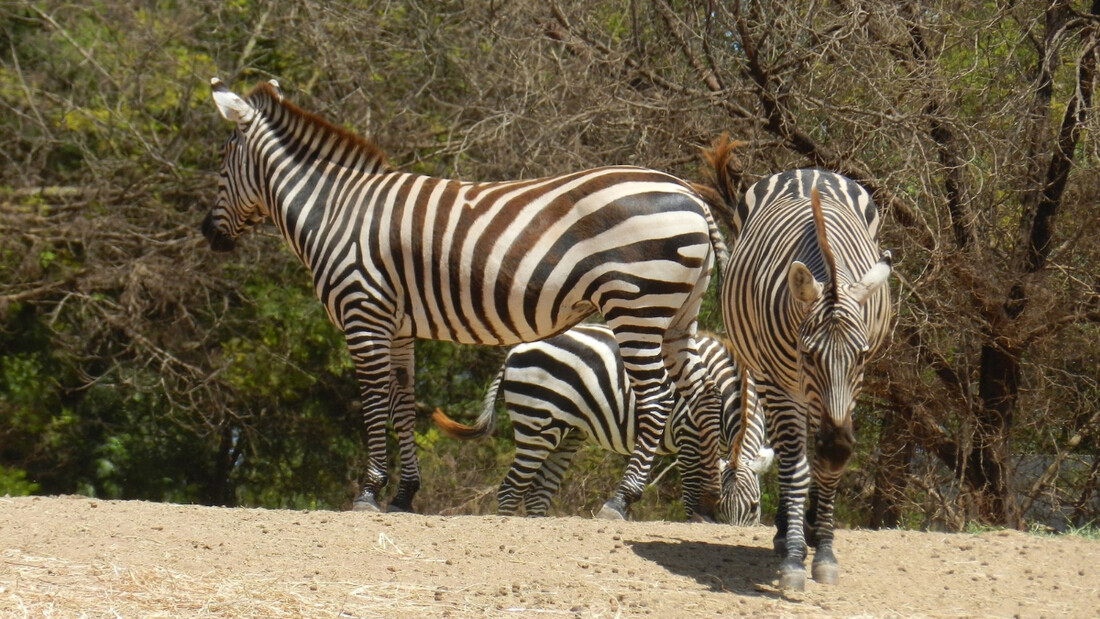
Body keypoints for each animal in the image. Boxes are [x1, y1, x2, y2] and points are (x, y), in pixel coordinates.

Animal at [202, 79, 726, 521]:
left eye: (223, 160)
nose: (208, 233)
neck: (333, 212)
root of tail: (689, 193)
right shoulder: (398, 326)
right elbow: (402, 402)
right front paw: (405, 495)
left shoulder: (364, 311)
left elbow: (373, 401)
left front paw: (369, 492)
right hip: (677, 314)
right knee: (702, 394)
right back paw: (704, 505)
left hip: (637, 304)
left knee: (657, 396)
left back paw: (620, 501)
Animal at [424, 325, 770, 523]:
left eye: (755, 508)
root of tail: (514, 351)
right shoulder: (687, 432)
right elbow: (691, 486)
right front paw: (696, 519)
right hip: (537, 423)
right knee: (512, 487)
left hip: (566, 433)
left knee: (537, 492)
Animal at [704, 137, 893, 593]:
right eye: (809, 354)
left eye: (862, 355)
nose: (839, 448)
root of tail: (810, 170)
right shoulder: (776, 381)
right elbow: (794, 467)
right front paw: (792, 556)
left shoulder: (852, 387)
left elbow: (822, 470)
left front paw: (822, 549)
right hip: (772, 380)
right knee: (792, 454)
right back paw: (784, 532)